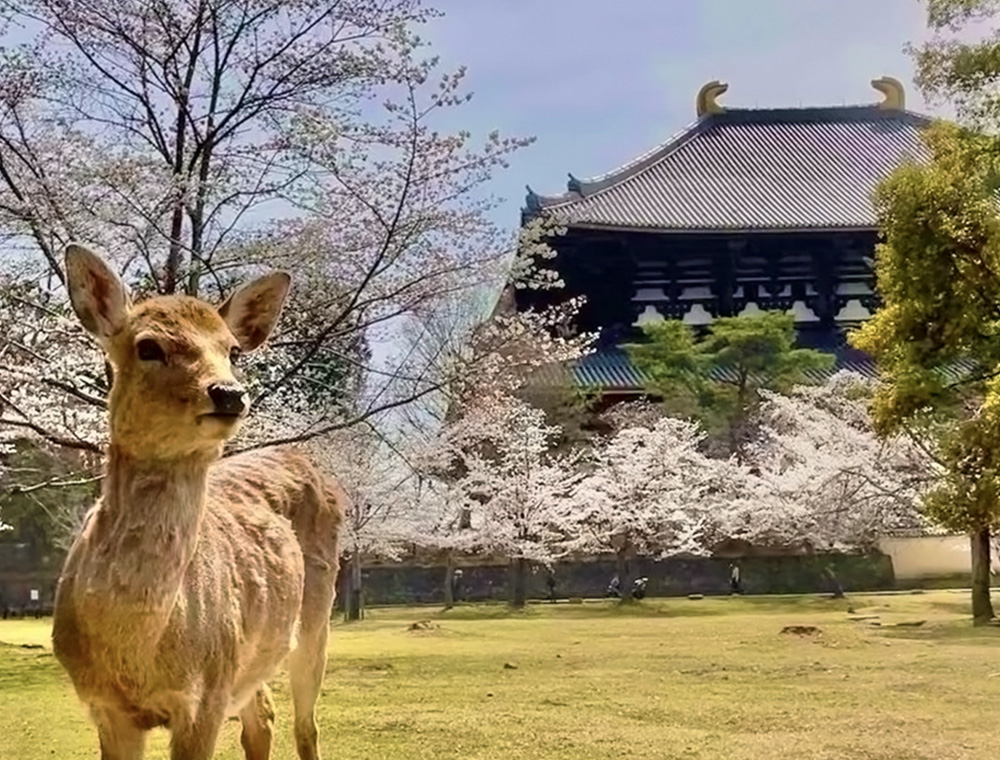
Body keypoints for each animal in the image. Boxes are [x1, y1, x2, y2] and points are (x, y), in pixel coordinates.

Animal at [51, 245, 348, 760]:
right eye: (148, 346)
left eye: (232, 350)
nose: (229, 393)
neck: (138, 651)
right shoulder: (104, 705)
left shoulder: (206, 694)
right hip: (249, 661)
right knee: (263, 716)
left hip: (316, 613)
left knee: (305, 724)